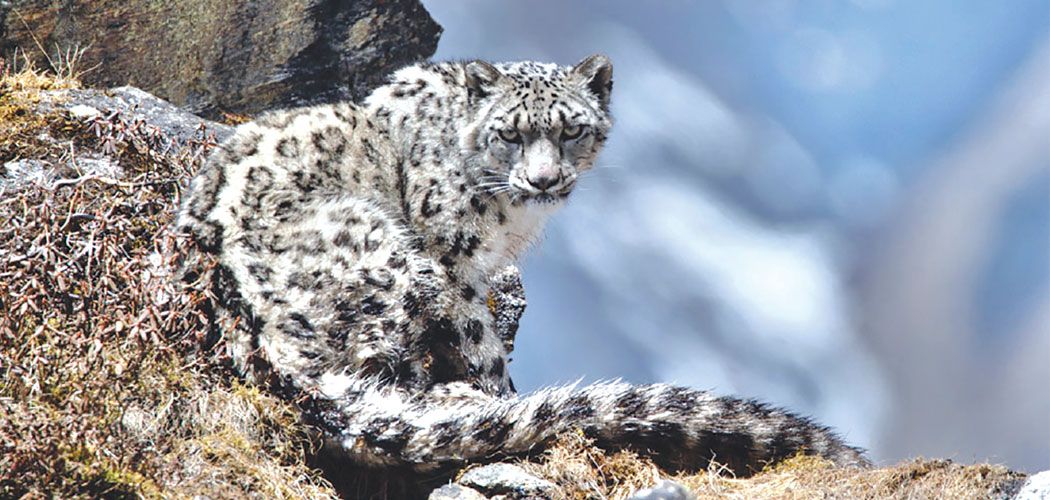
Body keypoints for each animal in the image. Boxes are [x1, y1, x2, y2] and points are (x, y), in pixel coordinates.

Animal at [176, 54, 868, 476]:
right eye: (509, 133)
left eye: (571, 130)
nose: (543, 179)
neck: (508, 218)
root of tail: (250, 330)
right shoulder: (454, 259)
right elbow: (481, 345)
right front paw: (502, 395)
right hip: (388, 259)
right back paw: (451, 398)